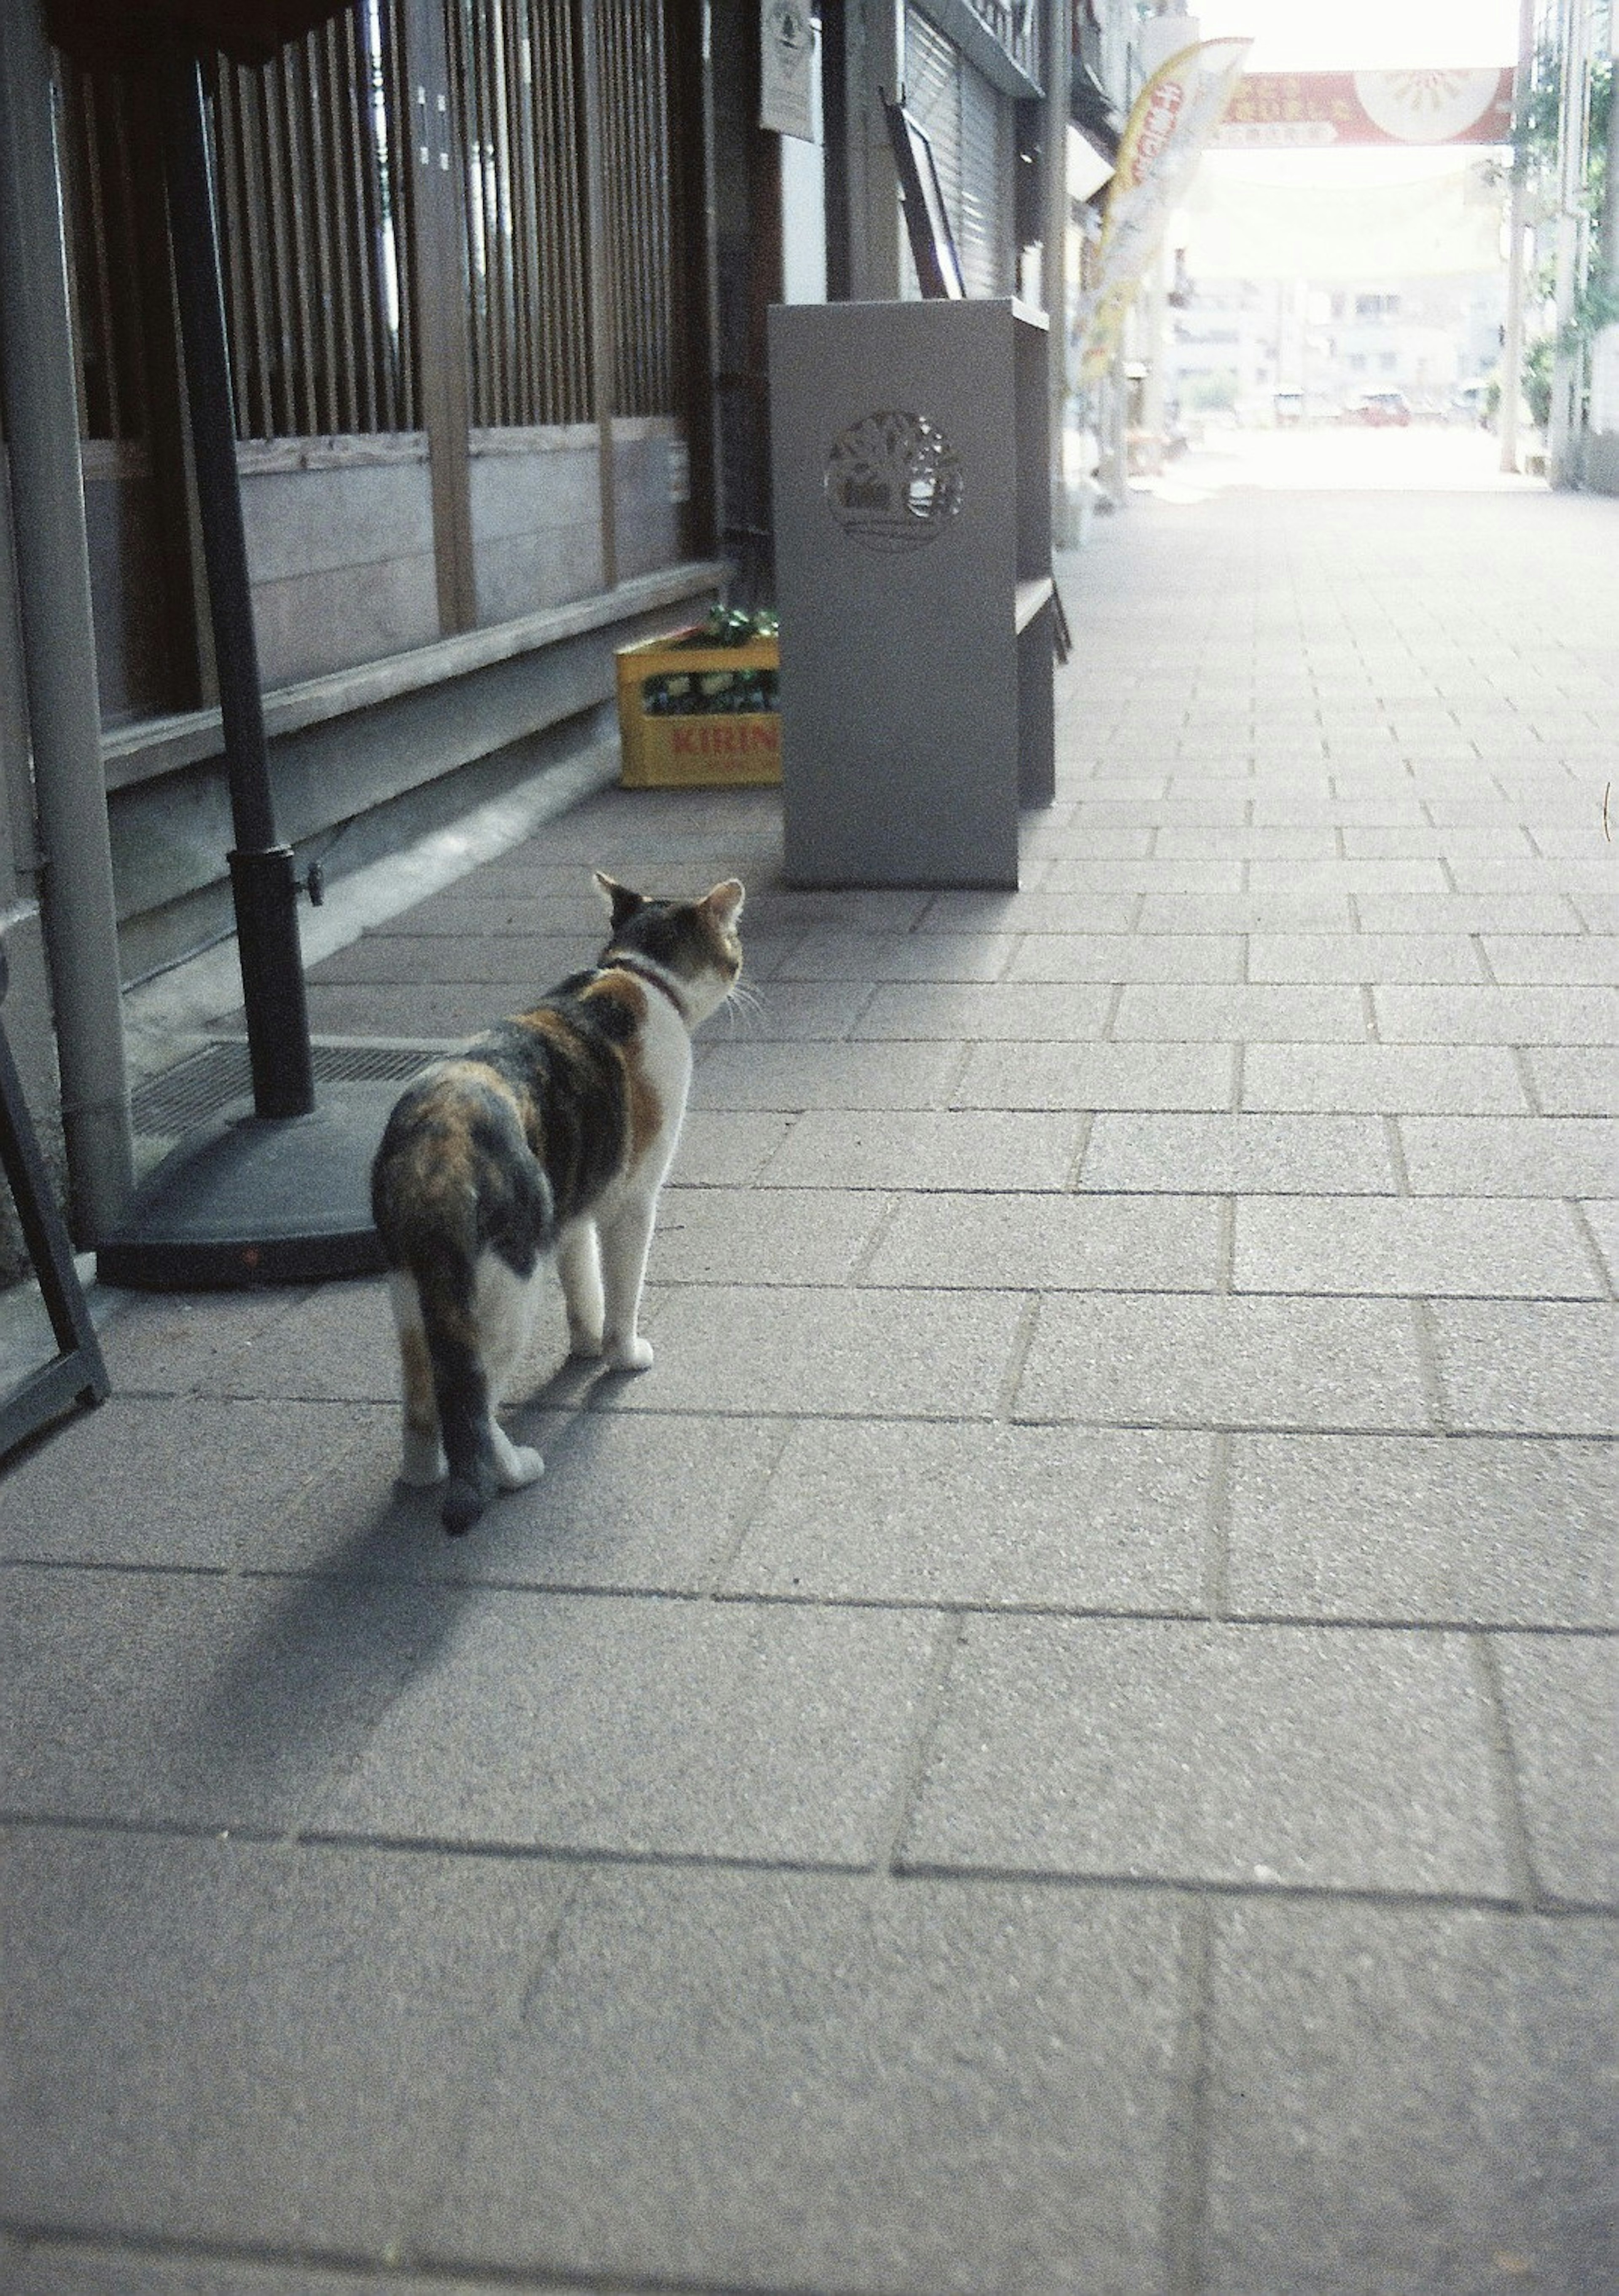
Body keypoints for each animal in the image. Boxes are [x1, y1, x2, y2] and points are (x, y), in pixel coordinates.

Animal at [369, 868, 744, 1534]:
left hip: (412, 1295)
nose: (743, 967)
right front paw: (622, 1354)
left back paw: (422, 1474)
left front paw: (586, 1344)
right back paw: (514, 1470)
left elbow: (582, 1281)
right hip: (506, 1292)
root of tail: (433, 1147)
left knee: (421, 1398)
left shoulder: (574, 1204)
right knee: (471, 1396)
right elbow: (622, 1290)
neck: (640, 975)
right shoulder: (631, 1200)